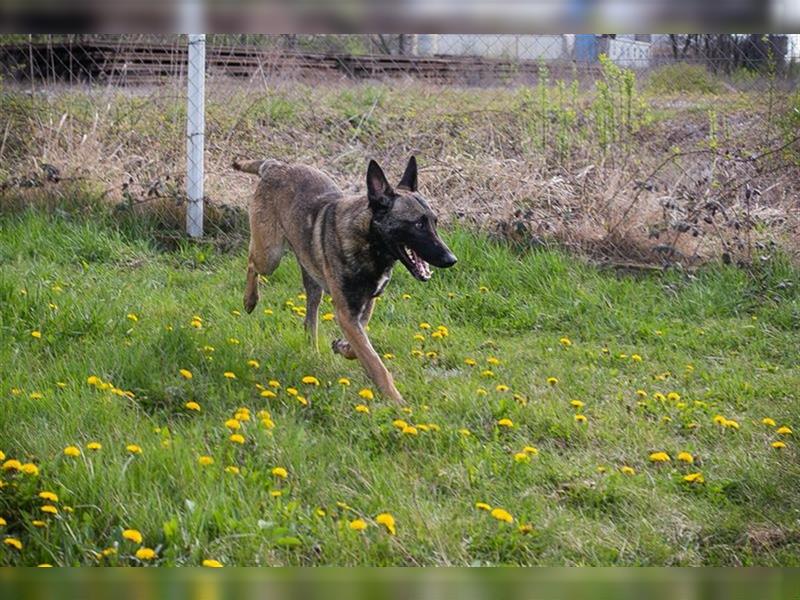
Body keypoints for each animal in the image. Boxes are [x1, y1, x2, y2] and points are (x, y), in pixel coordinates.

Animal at [231, 157, 456, 406]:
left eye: (434, 222)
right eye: (418, 224)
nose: (451, 259)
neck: (369, 242)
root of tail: (275, 165)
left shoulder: (363, 307)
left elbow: (361, 342)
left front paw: (343, 347)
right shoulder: (347, 314)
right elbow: (375, 363)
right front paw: (396, 401)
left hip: (311, 278)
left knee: (310, 319)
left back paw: (313, 351)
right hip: (270, 256)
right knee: (252, 263)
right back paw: (250, 299)